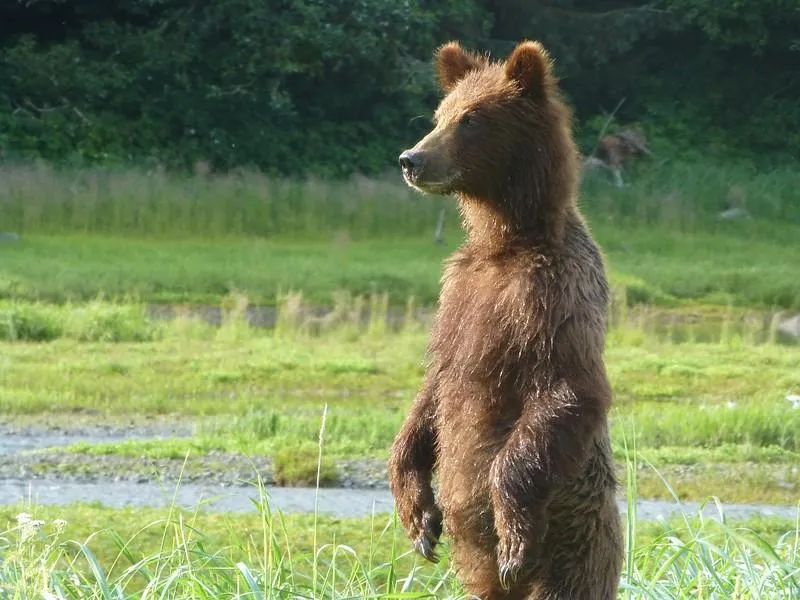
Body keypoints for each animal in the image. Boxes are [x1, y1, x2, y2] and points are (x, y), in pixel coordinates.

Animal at [388, 39, 624, 596]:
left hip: (575, 543)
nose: (411, 159)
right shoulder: (459, 294)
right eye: (440, 114)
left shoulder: (552, 293)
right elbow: (434, 387)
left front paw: (512, 538)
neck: (507, 242)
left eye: (472, 119)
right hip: (481, 577)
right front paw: (419, 520)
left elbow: (567, 389)